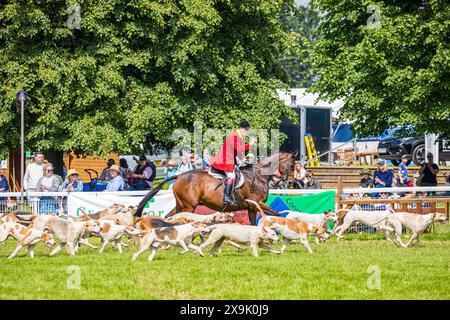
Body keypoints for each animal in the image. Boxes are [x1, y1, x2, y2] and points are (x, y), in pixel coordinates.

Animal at [134, 152, 296, 225]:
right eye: (292, 165)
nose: (288, 182)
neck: (258, 176)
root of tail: (179, 176)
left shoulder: (251, 208)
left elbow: (253, 224)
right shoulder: (256, 203)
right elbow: (277, 213)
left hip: (181, 205)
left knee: (170, 217)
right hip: (188, 206)